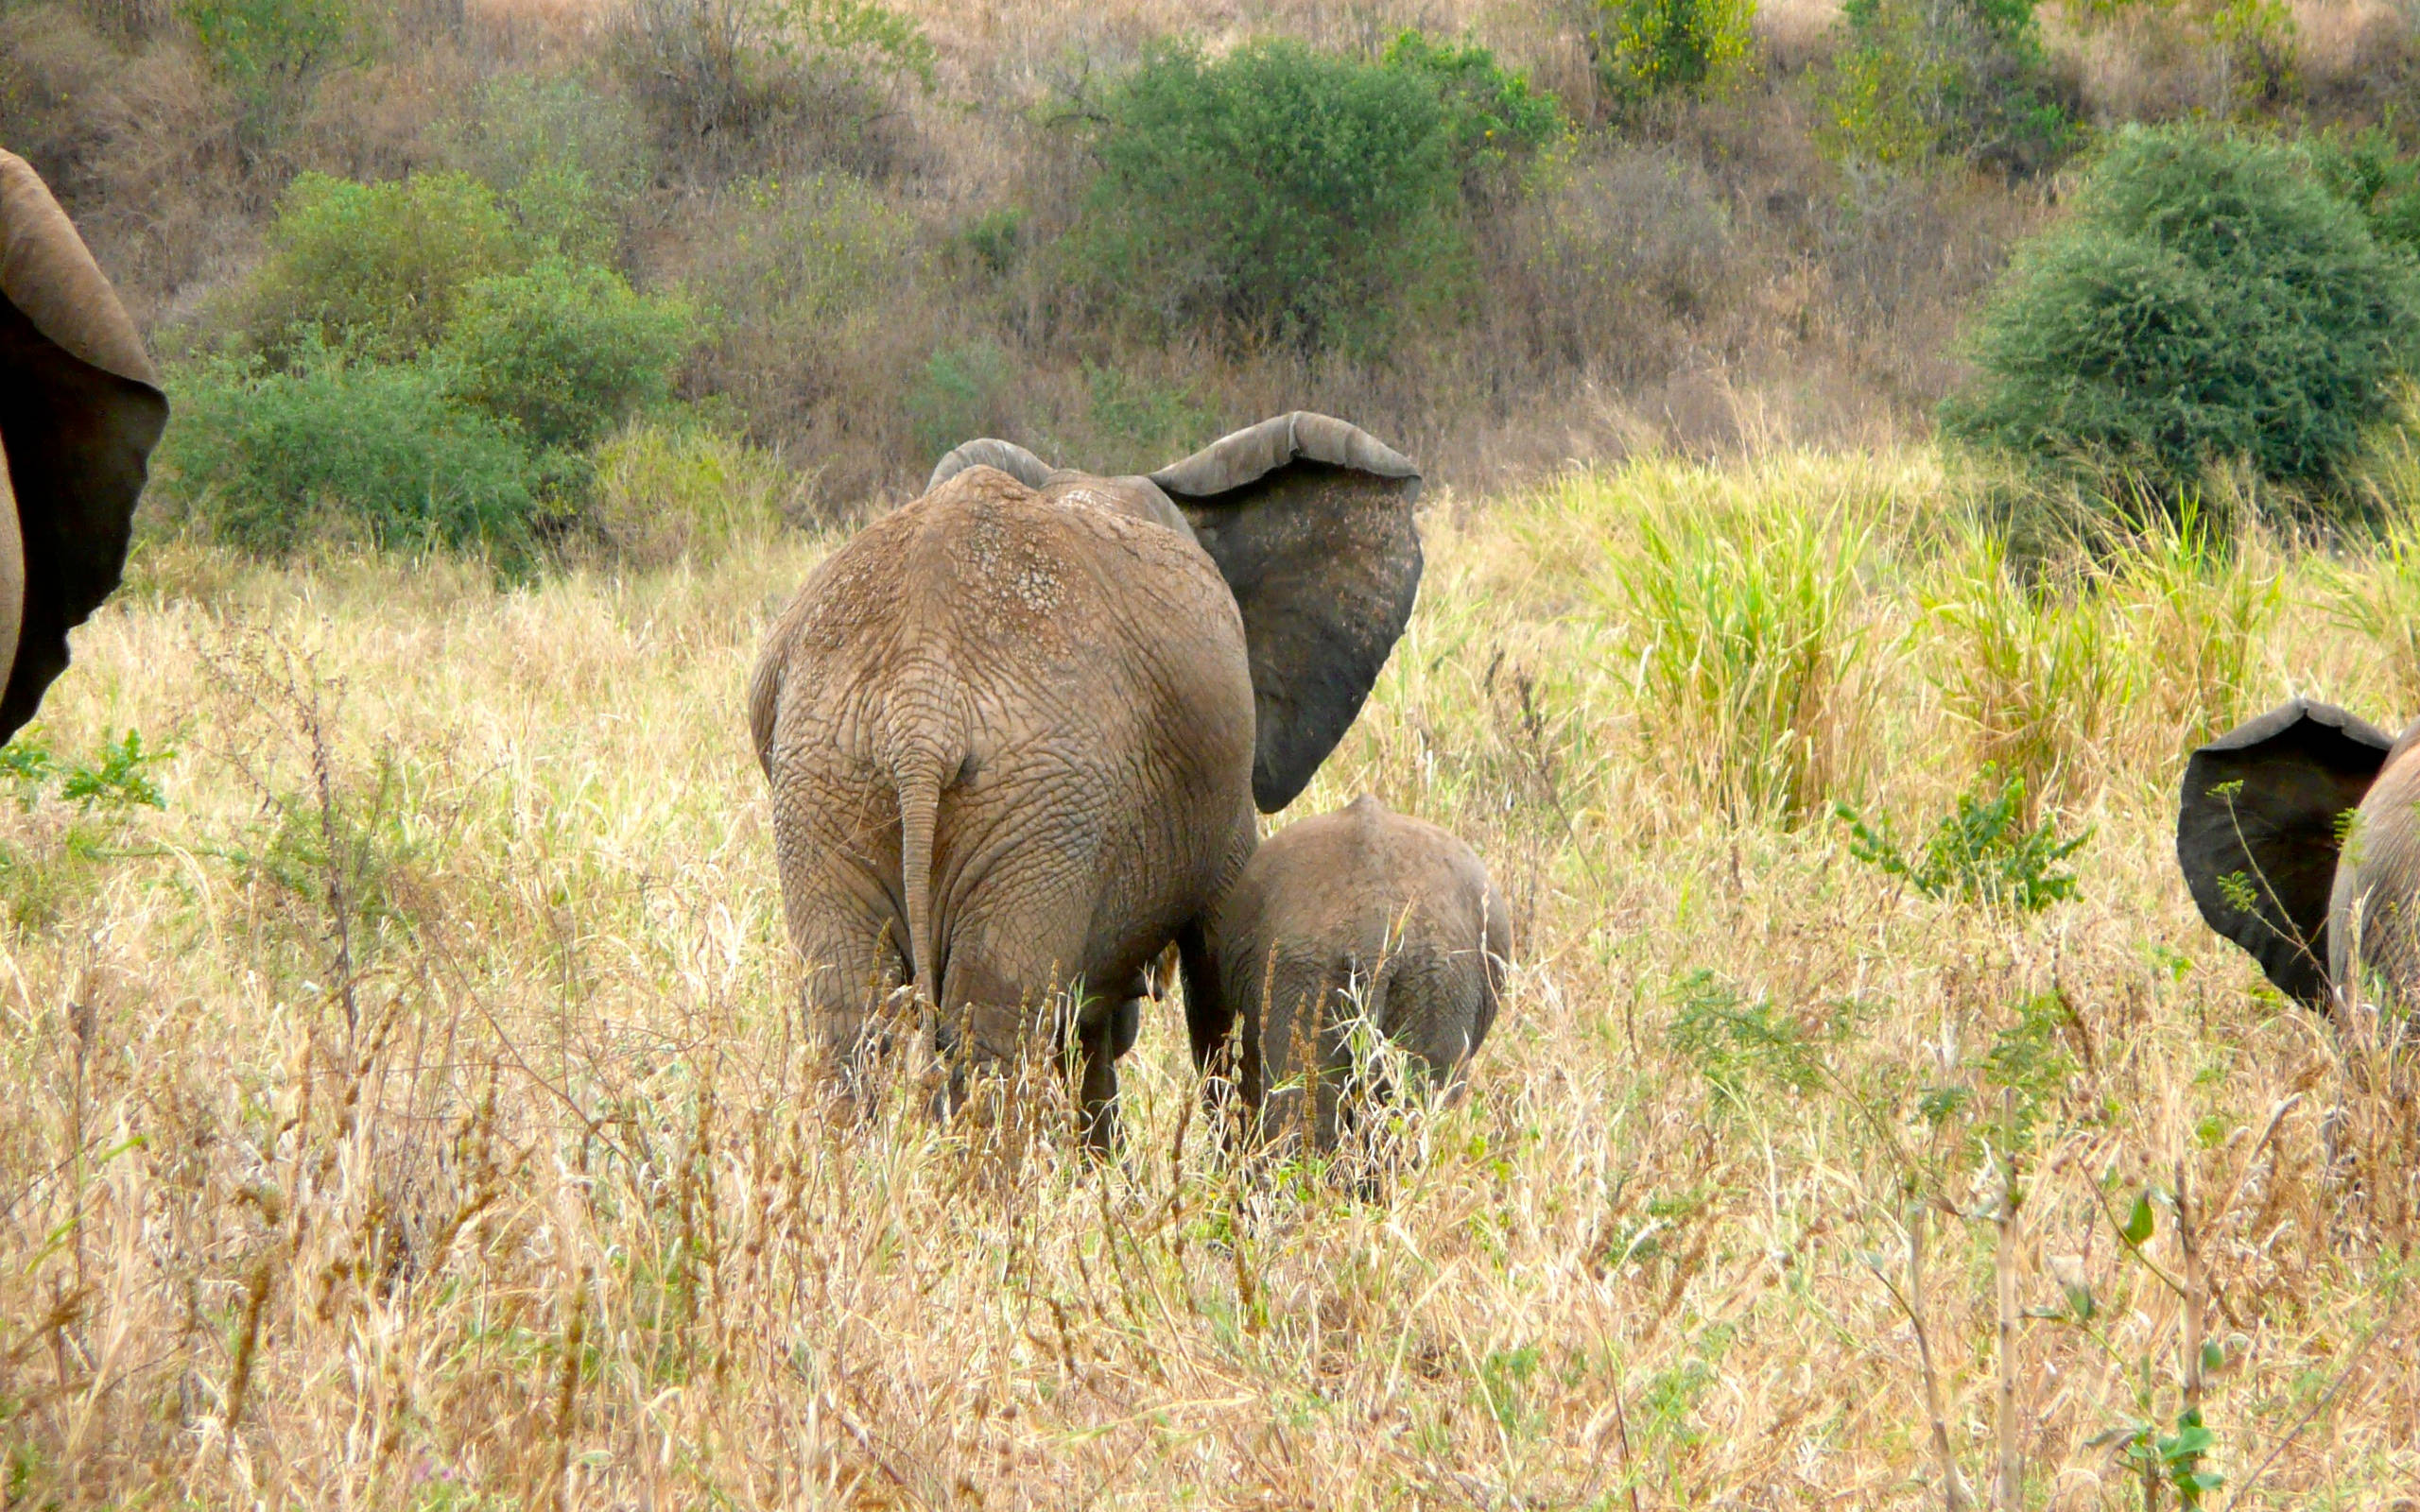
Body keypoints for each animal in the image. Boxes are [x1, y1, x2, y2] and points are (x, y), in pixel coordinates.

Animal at [748, 413, 1423, 1147]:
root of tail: (921, 704)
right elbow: (1220, 971)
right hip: (1034, 803)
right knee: (995, 1020)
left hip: (830, 780)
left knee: (850, 1012)